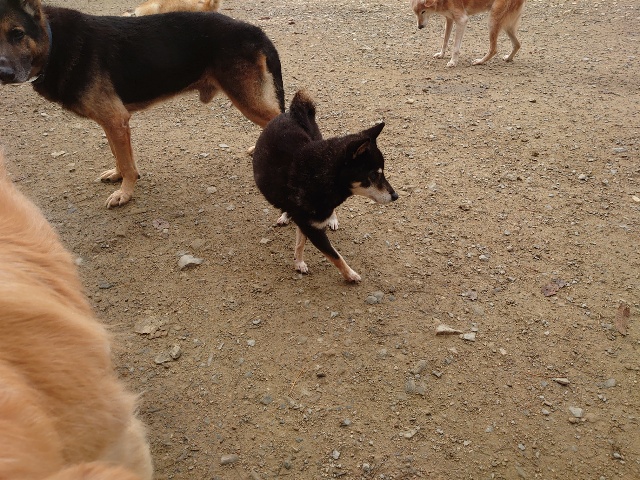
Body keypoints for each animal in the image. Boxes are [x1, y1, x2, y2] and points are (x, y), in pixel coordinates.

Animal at [0, 0, 284, 208]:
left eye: (17, 34)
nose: (4, 74)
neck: (54, 42)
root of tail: (254, 30)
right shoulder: (111, 121)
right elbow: (118, 153)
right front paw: (117, 175)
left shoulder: (116, 118)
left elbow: (127, 163)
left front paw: (124, 193)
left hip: (246, 98)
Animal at [252, 90, 398, 283]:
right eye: (374, 175)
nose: (395, 196)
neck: (318, 175)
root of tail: (291, 114)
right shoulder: (311, 226)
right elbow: (334, 255)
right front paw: (350, 275)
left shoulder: (310, 223)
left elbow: (303, 242)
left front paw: (299, 262)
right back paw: (285, 215)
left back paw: (331, 218)